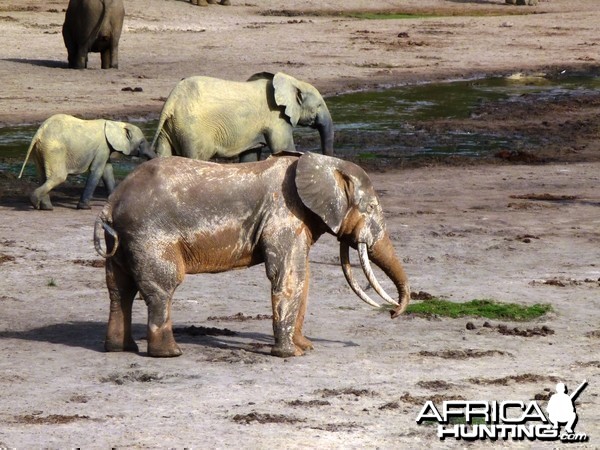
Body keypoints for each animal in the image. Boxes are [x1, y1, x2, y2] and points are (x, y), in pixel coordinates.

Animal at [19, 113, 155, 210]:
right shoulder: (103, 147)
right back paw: (35, 202)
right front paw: (84, 207)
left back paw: (46, 208)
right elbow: (97, 170)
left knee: (43, 175)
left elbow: (107, 171)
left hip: (41, 149)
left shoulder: (105, 149)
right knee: (58, 177)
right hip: (54, 149)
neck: (116, 124)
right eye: (142, 142)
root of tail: (39, 133)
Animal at [95, 154, 412, 358]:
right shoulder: (283, 214)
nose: (393, 313)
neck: (318, 162)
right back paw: (169, 353)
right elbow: (287, 276)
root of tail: (111, 202)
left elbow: (303, 277)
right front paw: (290, 355)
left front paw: (305, 348)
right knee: (163, 287)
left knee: (119, 289)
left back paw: (121, 349)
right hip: (149, 234)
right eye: (371, 207)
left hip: (125, 238)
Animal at [150, 73, 336, 164]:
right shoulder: (276, 118)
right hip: (191, 129)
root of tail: (171, 101)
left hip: (170, 127)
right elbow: (284, 148)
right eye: (319, 105)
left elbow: (249, 156)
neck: (292, 82)